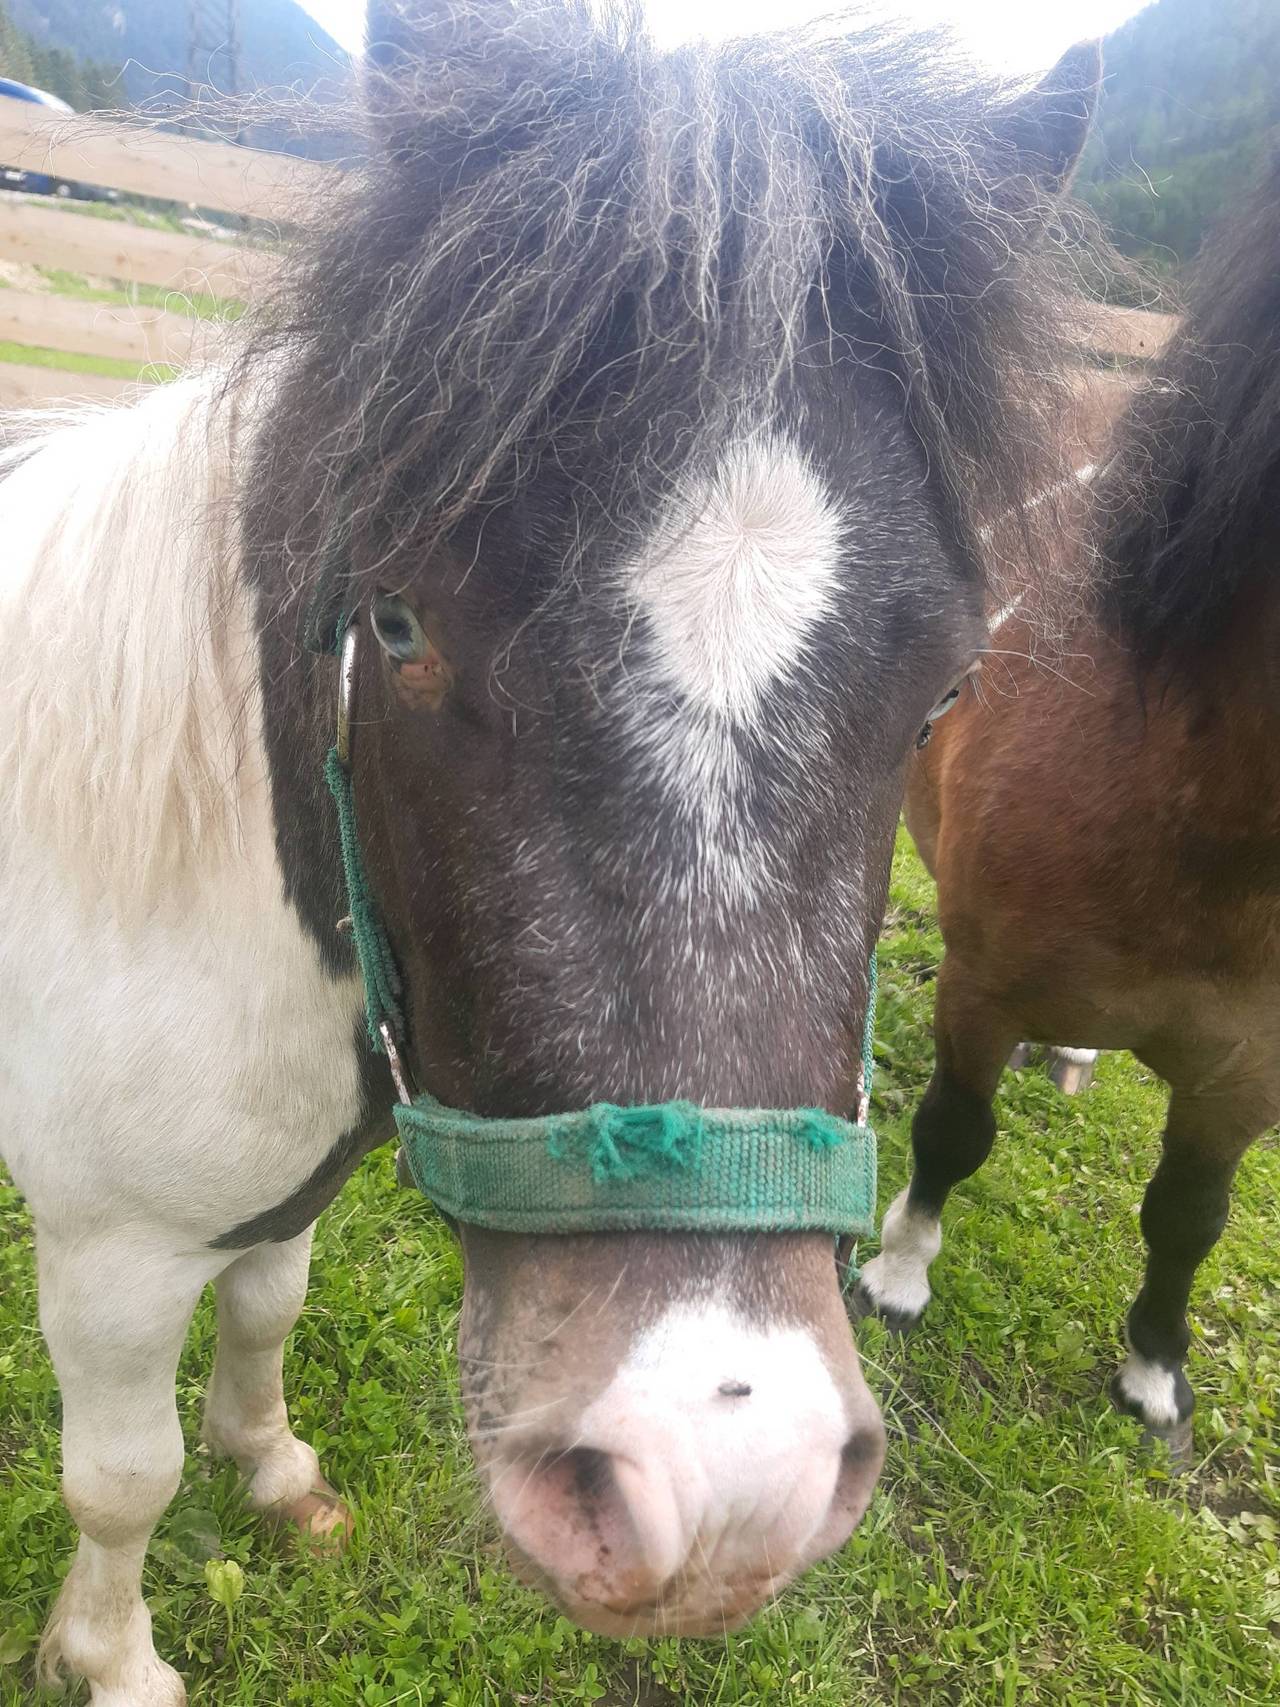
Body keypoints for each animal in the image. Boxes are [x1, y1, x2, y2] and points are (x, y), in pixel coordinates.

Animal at [0, 6, 1105, 1700]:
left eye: (946, 690)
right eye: (396, 626)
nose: (723, 1485)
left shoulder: (283, 1197)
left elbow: (267, 1312)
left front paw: (274, 1468)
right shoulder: (108, 1255)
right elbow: (122, 1478)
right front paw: (113, 1658)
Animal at [856, 136, 1280, 1468]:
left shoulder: (1243, 1071)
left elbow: (1188, 1213)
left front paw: (1152, 1370)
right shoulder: (983, 986)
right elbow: (952, 1130)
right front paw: (898, 1275)